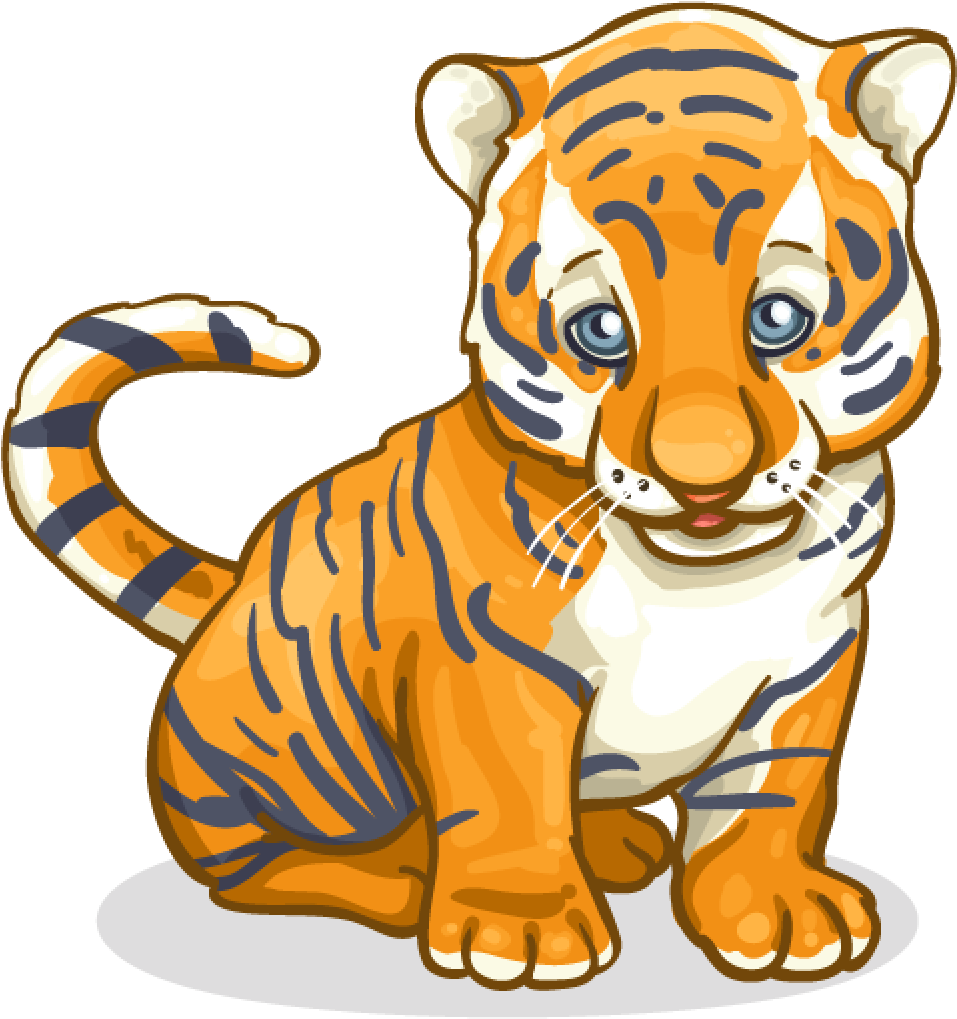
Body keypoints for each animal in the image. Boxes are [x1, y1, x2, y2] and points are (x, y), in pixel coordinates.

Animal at [3, 6, 950, 992]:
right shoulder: (489, 655)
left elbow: (772, 785)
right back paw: (407, 877)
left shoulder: (813, 655)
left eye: (776, 319)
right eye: (599, 330)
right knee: (258, 863)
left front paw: (777, 909)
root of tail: (225, 600)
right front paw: (521, 929)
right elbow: (507, 792)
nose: (703, 473)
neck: (701, 582)